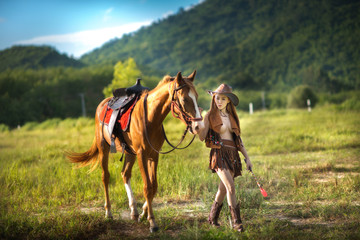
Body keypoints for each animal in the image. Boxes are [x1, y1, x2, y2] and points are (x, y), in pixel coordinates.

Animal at [66, 70, 204, 232]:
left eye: (196, 96)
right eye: (184, 99)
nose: (198, 126)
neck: (150, 118)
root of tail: (102, 104)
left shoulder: (154, 155)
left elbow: (154, 186)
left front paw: (144, 213)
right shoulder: (142, 155)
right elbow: (147, 187)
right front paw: (152, 222)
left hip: (129, 152)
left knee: (125, 174)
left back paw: (134, 211)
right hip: (103, 148)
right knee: (105, 177)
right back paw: (108, 212)